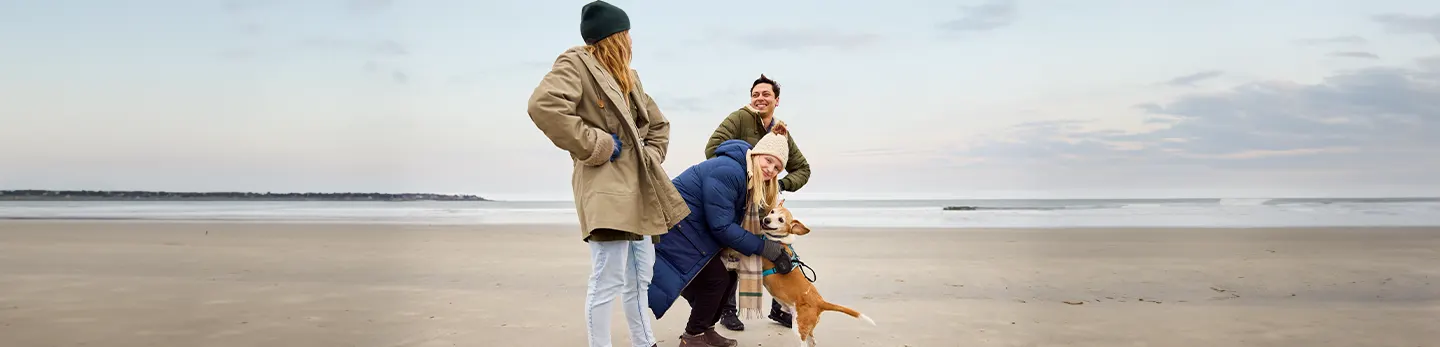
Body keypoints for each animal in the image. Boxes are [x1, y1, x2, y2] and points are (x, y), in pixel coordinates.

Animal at [760, 198, 869, 345]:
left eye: (781, 220)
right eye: (772, 211)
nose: (766, 220)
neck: (779, 241)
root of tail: (820, 302)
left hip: (799, 326)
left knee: (803, 342)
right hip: (808, 328)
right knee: (813, 341)